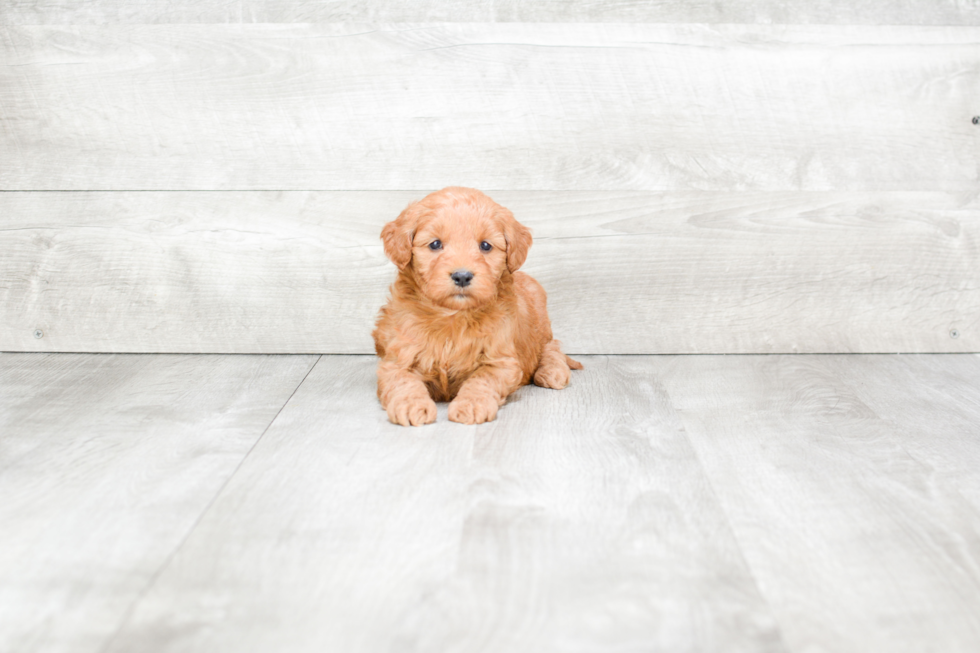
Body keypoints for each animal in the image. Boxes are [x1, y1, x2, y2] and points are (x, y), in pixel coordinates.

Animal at [372, 186, 580, 426]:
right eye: (435, 244)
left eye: (485, 245)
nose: (462, 276)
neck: (452, 316)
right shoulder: (397, 358)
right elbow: (403, 380)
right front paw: (411, 405)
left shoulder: (501, 361)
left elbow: (482, 379)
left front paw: (470, 405)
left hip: (541, 319)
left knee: (551, 346)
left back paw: (552, 372)